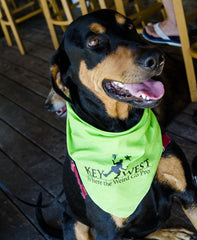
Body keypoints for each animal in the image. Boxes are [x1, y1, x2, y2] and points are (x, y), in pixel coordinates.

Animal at [38, 9, 197, 240]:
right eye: (94, 42)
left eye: (129, 26)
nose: (157, 58)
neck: (122, 130)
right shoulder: (107, 230)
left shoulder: (188, 193)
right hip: (74, 222)